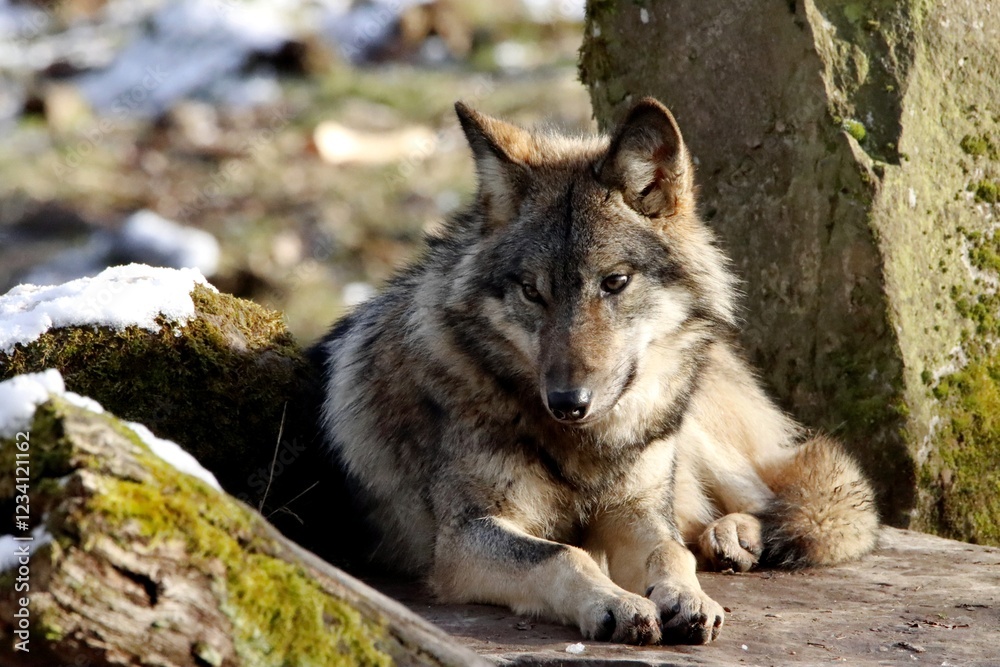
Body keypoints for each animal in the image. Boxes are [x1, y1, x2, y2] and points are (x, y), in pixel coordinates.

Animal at [311, 97, 879, 645]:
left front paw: (689, 598)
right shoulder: (463, 537)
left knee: (797, 499)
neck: (585, 449)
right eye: (532, 291)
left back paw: (734, 535)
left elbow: (669, 551)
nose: (568, 403)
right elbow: (564, 554)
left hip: (693, 436)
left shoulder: (635, 511)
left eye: (615, 282)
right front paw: (616, 604)